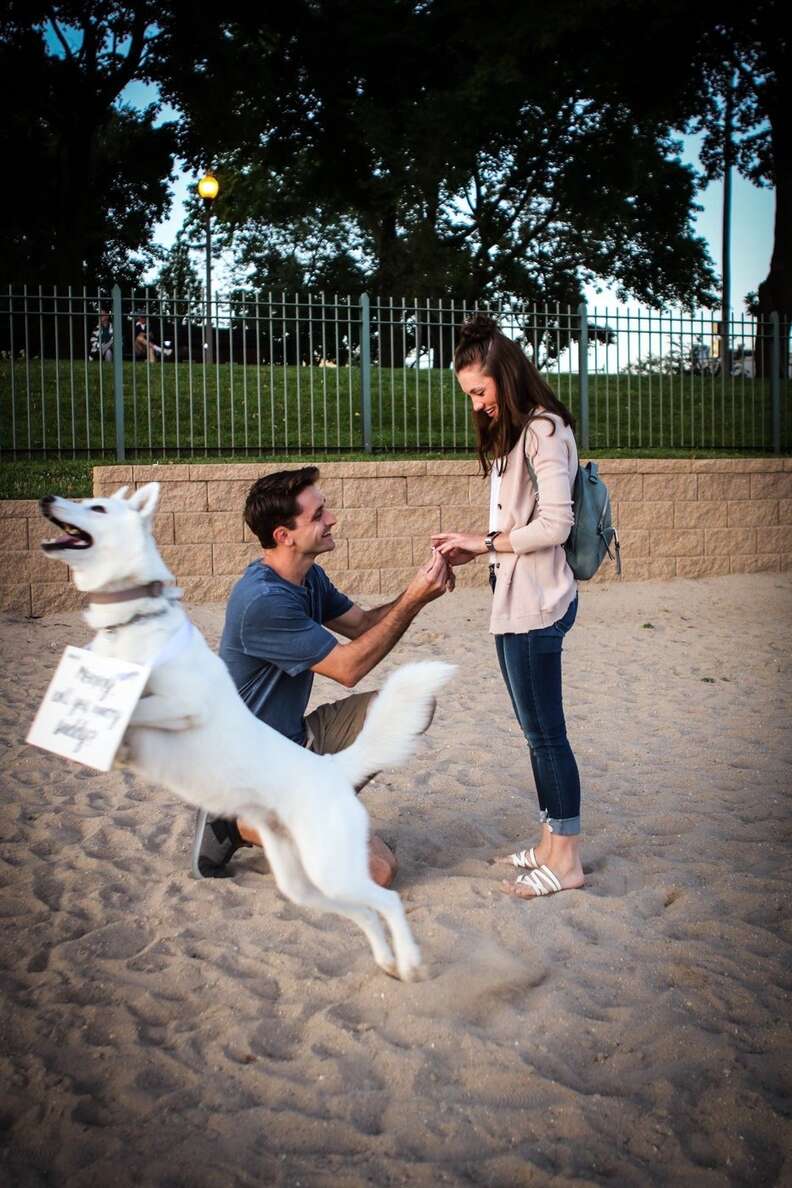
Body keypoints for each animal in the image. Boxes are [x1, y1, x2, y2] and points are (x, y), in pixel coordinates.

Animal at [40, 477, 455, 978]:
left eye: (97, 508)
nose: (47, 499)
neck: (133, 624)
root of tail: (331, 768)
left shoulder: (182, 703)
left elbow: (141, 710)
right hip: (307, 883)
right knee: (366, 913)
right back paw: (388, 961)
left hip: (332, 869)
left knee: (388, 900)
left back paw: (409, 962)